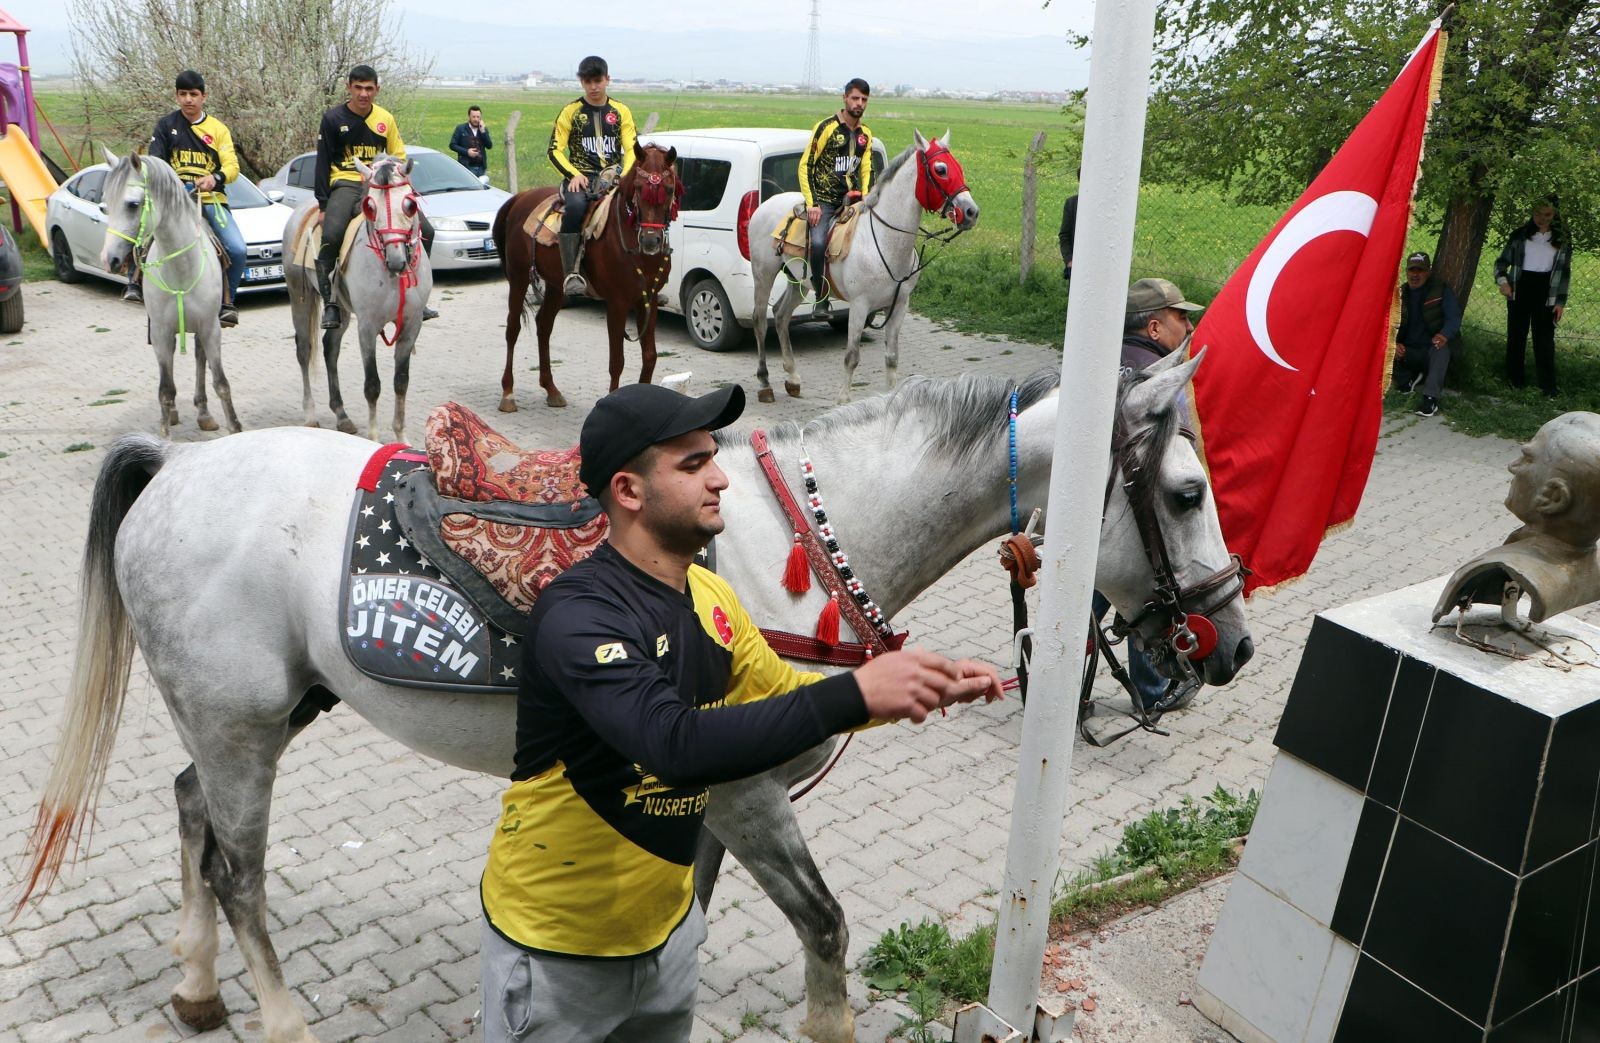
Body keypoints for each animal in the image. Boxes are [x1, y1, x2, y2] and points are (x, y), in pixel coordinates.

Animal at [18, 351, 1254, 1043]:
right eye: (1187, 491)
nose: (1231, 643)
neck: (779, 548)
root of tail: (175, 468)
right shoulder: (750, 790)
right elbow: (823, 925)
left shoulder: (708, 799)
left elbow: (682, 927)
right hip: (243, 726)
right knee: (238, 869)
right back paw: (278, 1020)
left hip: (255, 715)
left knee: (190, 812)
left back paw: (195, 989)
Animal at [100, 147, 241, 435]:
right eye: (105, 205)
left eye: (133, 204)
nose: (109, 260)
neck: (181, 270)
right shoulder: (161, 332)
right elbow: (165, 390)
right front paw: (165, 435)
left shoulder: (211, 328)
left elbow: (221, 382)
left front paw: (235, 427)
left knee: (199, 358)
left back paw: (204, 413)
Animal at [283, 153, 428, 441]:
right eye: (370, 207)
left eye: (410, 204)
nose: (397, 261)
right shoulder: (367, 327)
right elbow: (372, 384)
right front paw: (373, 439)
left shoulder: (411, 326)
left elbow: (401, 382)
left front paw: (401, 437)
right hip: (299, 298)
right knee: (304, 349)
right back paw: (310, 415)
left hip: (340, 308)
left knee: (330, 348)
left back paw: (342, 416)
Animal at [492, 143, 681, 412]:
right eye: (638, 187)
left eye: (669, 188)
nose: (651, 240)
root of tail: (520, 197)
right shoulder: (617, 303)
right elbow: (617, 361)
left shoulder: (649, 300)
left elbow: (650, 356)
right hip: (518, 277)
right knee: (513, 328)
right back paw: (508, 394)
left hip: (555, 286)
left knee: (544, 325)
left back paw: (552, 390)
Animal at [745, 127, 972, 404]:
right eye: (941, 169)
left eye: (958, 167)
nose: (971, 211)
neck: (884, 241)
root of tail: (765, 205)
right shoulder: (859, 305)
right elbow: (851, 357)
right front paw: (843, 400)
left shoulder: (899, 305)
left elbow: (892, 358)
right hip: (763, 274)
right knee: (759, 320)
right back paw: (765, 383)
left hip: (798, 281)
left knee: (780, 315)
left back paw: (793, 378)